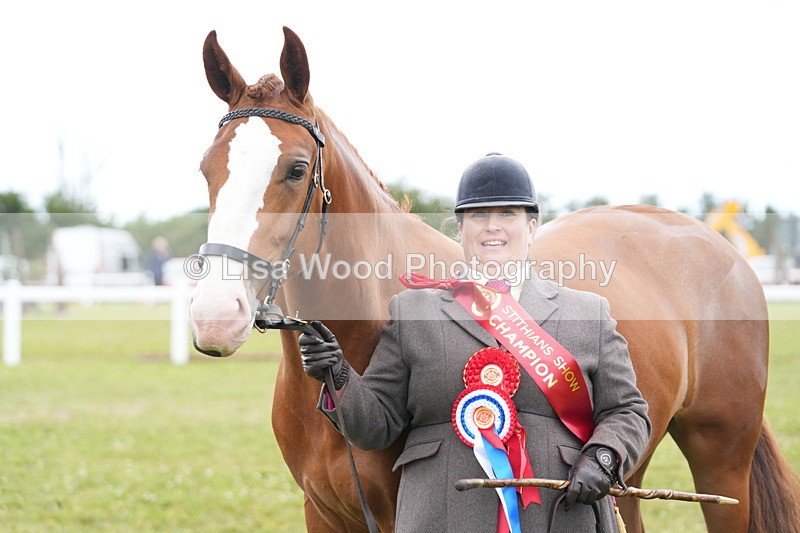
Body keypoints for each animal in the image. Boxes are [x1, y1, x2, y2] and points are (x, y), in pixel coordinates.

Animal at [188, 27, 800, 532]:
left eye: (295, 169)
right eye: (205, 169)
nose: (215, 315)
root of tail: (714, 244)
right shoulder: (323, 514)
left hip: (722, 462)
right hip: (626, 474)